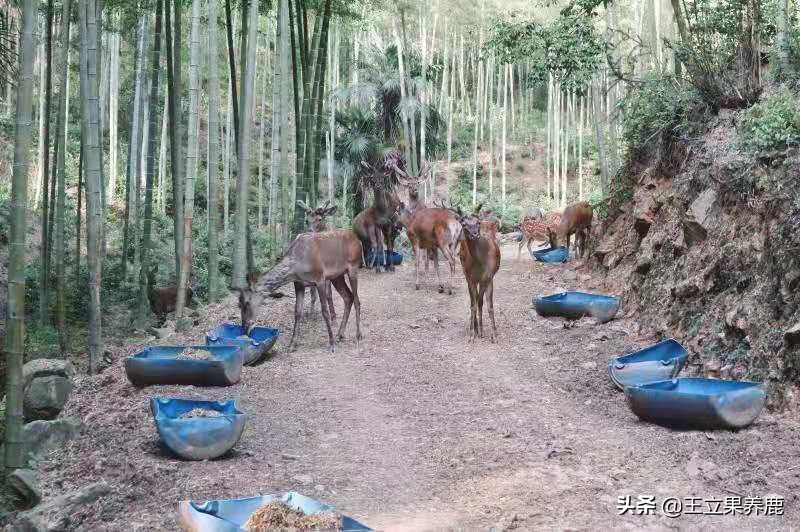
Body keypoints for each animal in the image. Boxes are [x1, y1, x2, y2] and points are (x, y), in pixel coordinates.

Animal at [449, 203, 501, 341]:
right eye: (464, 224)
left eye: (478, 222)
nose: (474, 234)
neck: (480, 264)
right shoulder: (471, 278)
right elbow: (473, 304)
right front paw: (472, 334)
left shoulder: (488, 277)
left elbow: (489, 305)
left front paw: (494, 334)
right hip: (466, 274)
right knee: (475, 300)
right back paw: (477, 329)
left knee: (479, 300)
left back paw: (481, 330)